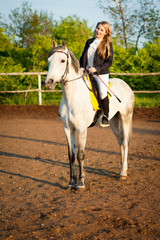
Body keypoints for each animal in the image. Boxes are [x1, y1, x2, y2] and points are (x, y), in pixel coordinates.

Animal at [45, 40, 135, 188]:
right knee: (121, 141)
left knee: (126, 142)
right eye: (49, 60)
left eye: (62, 60)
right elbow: (71, 155)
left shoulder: (81, 129)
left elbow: (80, 154)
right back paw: (123, 169)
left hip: (125, 118)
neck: (72, 96)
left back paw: (123, 173)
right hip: (114, 121)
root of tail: (126, 85)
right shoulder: (68, 129)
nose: (49, 82)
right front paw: (71, 182)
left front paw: (81, 183)